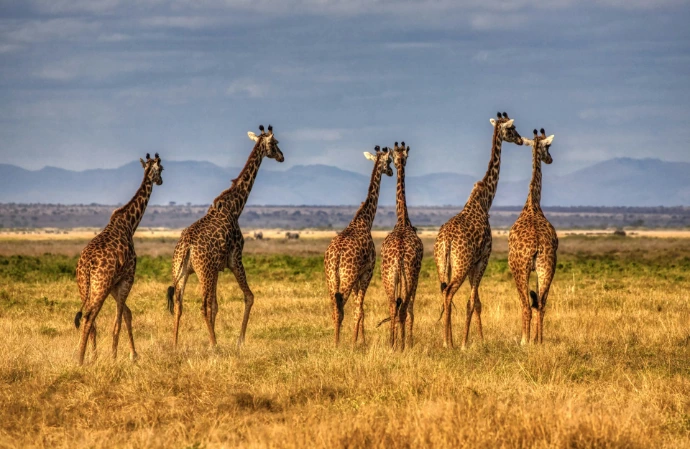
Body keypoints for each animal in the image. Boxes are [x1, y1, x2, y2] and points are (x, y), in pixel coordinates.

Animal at [74, 153, 164, 365]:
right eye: (162, 169)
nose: (161, 181)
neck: (130, 224)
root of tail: (86, 265)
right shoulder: (127, 277)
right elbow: (119, 322)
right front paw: (115, 357)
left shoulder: (114, 284)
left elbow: (127, 315)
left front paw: (132, 354)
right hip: (100, 285)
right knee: (89, 317)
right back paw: (80, 359)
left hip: (85, 286)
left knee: (90, 320)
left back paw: (91, 356)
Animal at [167, 125, 284, 349]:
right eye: (275, 143)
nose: (282, 157)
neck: (235, 207)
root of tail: (186, 247)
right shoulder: (234, 258)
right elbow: (248, 297)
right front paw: (239, 341)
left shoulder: (217, 268)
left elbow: (216, 305)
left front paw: (215, 338)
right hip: (203, 271)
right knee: (202, 306)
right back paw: (215, 345)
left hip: (182, 271)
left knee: (179, 304)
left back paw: (176, 344)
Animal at [324, 146, 393, 346]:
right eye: (389, 161)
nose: (391, 172)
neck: (364, 221)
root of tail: (337, 256)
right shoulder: (367, 272)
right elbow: (359, 310)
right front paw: (357, 342)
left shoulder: (357, 277)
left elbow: (360, 309)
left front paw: (361, 340)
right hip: (346, 277)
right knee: (341, 310)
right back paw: (338, 344)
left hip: (331, 279)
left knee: (335, 310)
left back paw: (336, 342)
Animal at [434, 112, 524, 349]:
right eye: (512, 129)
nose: (521, 140)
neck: (484, 201)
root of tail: (446, 241)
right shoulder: (483, 257)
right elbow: (473, 301)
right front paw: (469, 343)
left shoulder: (474, 263)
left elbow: (476, 302)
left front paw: (477, 339)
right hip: (461, 264)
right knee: (449, 293)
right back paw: (448, 343)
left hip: (443, 265)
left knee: (444, 293)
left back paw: (447, 340)